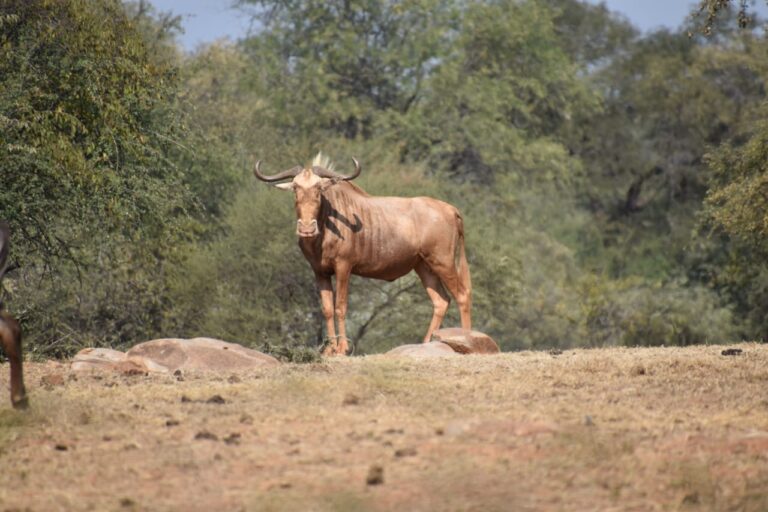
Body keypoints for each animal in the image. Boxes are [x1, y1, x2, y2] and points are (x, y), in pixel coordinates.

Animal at [253, 153, 472, 356]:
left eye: (319, 189)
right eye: (295, 188)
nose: (307, 228)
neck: (327, 224)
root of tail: (451, 210)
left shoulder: (343, 267)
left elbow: (340, 306)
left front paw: (342, 348)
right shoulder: (320, 272)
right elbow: (327, 309)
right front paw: (329, 349)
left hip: (443, 262)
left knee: (462, 295)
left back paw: (467, 342)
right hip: (424, 267)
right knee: (441, 301)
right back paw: (426, 344)